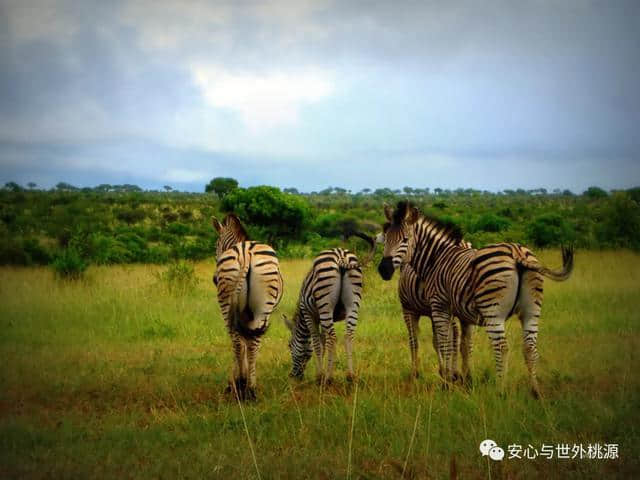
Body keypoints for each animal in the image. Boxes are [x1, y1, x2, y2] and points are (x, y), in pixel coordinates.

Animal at [212, 215, 282, 402]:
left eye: (216, 246)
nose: (214, 279)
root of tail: (245, 254)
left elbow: (242, 343)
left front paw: (234, 383)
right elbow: (246, 343)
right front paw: (236, 382)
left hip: (229, 303)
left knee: (237, 342)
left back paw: (244, 386)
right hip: (262, 308)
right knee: (251, 344)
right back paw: (249, 388)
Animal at [284, 234, 376, 384]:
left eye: (290, 345)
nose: (293, 376)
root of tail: (340, 256)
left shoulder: (309, 313)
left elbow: (317, 342)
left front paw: (320, 375)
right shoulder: (321, 318)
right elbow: (323, 341)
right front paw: (323, 370)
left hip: (325, 304)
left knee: (333, 337)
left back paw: (328, 378)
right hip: (352, 303)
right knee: (348, 335)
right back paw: (350, 376)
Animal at [378, 202, 572, 398]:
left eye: (405, 239)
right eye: (386, 239)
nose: (383, 270)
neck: (436, 259)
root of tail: (516, 253)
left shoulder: (439, 306)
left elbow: (444, 343)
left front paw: (446, 382)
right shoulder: (461, 314)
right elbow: (462, 344)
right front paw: (463, 380)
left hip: (492, 310)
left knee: (501, 347)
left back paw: (500, 391)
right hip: (531, 309)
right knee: (530, 347)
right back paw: (535, 392)